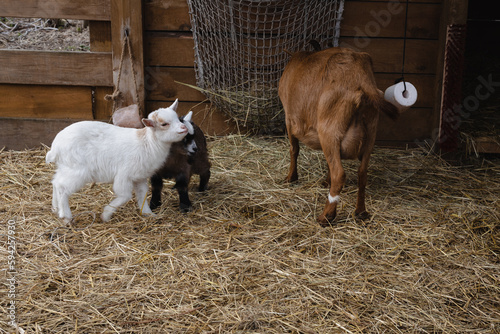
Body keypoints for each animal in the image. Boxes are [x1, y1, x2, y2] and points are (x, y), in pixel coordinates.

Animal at [280, 47, 400, 226]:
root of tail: (360, 78)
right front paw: (325, 181)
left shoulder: (289, 118)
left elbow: (294, 149)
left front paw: (291, 178)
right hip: (370, 133)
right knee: (362, 173)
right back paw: (360, 212)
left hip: (329, 130)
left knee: (339, 174)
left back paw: (326, 216)